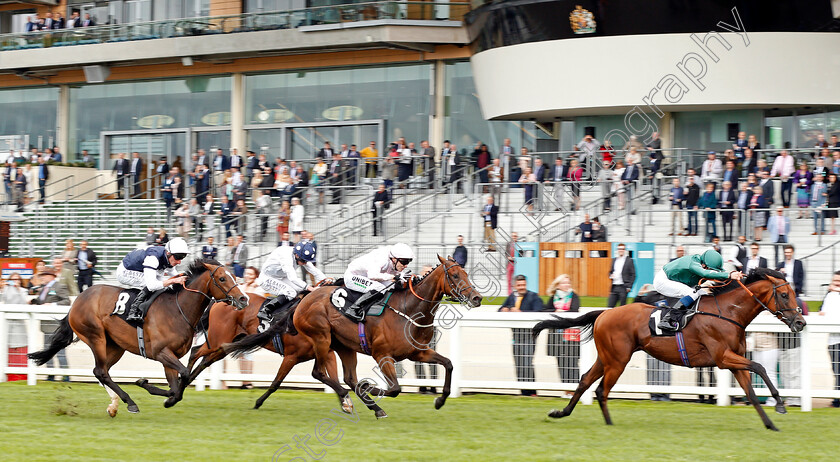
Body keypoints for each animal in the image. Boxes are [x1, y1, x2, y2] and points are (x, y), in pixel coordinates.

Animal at [28, 260, 249, 416]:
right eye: (222, 278)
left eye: (233, 276)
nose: (243, 298)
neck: (177, 310)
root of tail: (77, 300)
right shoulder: (160, 352)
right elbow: (185, 375)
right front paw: (147, 385)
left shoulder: (170, 357)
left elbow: (175, 387)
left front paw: (160, 394)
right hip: (95, 336)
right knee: (100, 371)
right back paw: (129, 402)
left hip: (115, 345)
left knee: (101, 372)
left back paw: (114, 405)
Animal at [223, 256, 482, 418]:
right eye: (455, 275)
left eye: (465, 273)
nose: (477, 298)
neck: (408, 309)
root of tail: (304, 300)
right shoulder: (382, 355)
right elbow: (394, 388)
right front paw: (370, 388)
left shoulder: (418, 352)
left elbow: (448, 364)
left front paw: (440, 400)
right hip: (322, 338)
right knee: (321, 374)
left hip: (343, 346)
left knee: (346, 378)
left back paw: (370, 405)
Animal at [532, 268, 808, 432]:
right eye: (784, 295)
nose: (800, 323)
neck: (729, 312)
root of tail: (604, 313)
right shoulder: (723, 357)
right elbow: (760, 366)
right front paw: (780, 404)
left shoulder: (733, 360)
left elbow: (750, 390)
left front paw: (771, 423)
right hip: (617, 360)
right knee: (601, 389)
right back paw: (609, 424)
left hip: (608, 357)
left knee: (585, 381)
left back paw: (561, 413)